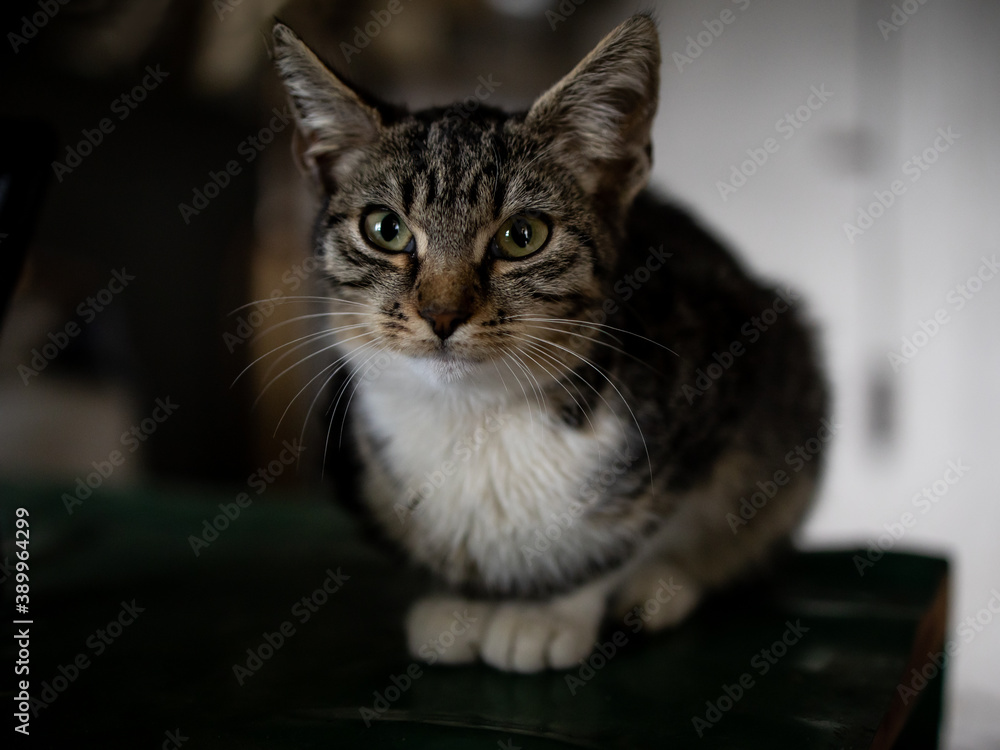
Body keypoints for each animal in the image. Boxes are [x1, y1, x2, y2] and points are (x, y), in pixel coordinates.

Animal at [270, 11, 824, 672]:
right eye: (385, 229)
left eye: (522, 235)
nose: (441, 313)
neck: (476, 415)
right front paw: (466, 602)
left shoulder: (725, 369)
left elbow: (634, 529)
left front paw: (550, 611)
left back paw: (663, 588)